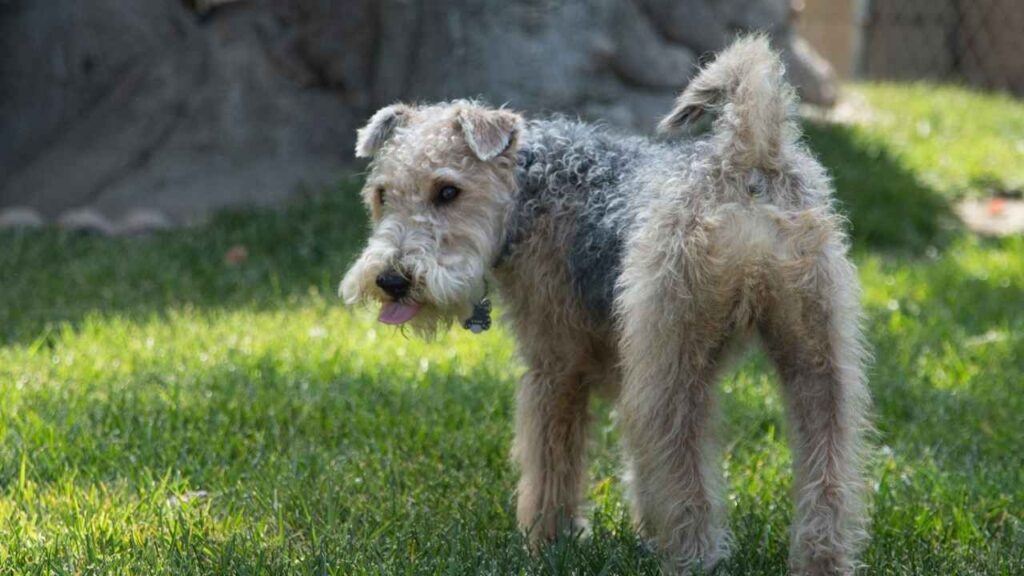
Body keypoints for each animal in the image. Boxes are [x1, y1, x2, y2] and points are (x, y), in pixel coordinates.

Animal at [339, 36, 868, 573]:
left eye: (448, 190)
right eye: (382, 194)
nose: (391, 280)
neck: (530, 191)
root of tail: (745, 158)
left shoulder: (555, 365)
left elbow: (553, 461)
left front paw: (545, 542)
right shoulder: (620, 359)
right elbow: (636, 465)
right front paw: (641, 530)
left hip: (671, 362)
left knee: (687, 478)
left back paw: (692, 557)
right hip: (817, 360)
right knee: (829, 475)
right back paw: (821, 559)